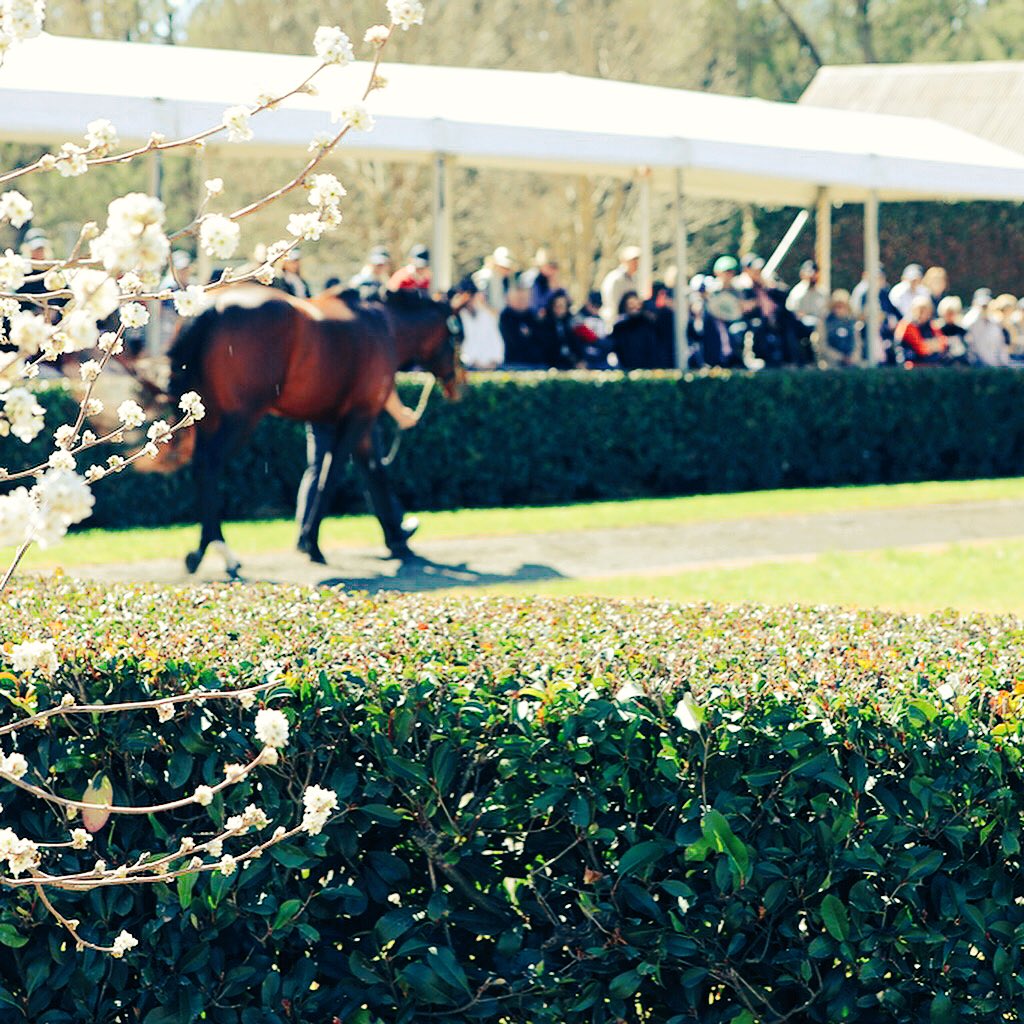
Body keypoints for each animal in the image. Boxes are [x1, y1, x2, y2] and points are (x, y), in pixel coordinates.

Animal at [167, 285, 464, 578]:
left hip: (204, 413)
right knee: (211, 464)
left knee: (201, 465)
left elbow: (374, 473)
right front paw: (313, 544)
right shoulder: (359, 415)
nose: (459, 385)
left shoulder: (356, 423)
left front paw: (398, 540)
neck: (384, 325)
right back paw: (222, 551)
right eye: (455, 336)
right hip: (242, 415)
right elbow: (330, 476)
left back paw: (200, 552)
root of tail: (212, 308)